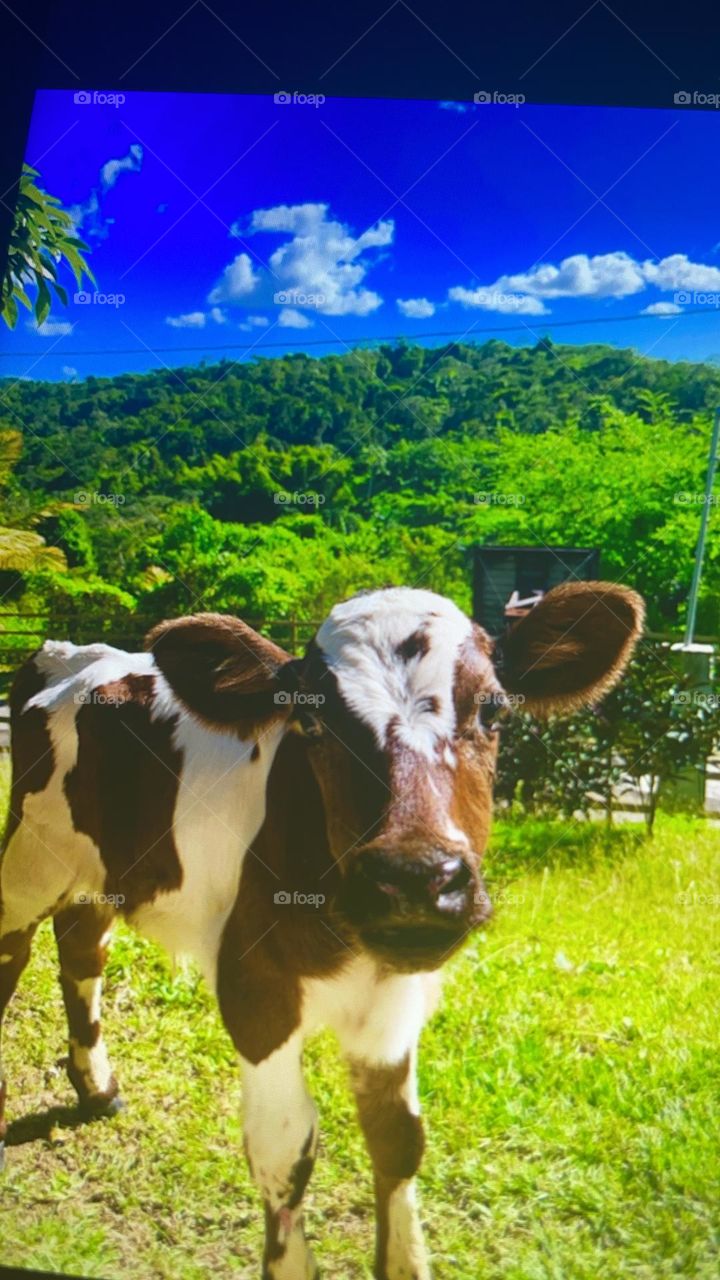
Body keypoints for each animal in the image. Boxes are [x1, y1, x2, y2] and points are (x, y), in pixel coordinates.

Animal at [0, 581, 643, 1280]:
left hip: (98, 869)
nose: (414, 878)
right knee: (16, 950)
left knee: (81, 949)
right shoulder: (255, 988)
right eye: (312, 723)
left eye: (493, 710)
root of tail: (68, 650)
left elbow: (398, 1139)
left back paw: (98, 1089)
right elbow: (285, 1153)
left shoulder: (396, 999)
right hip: (29, 858)